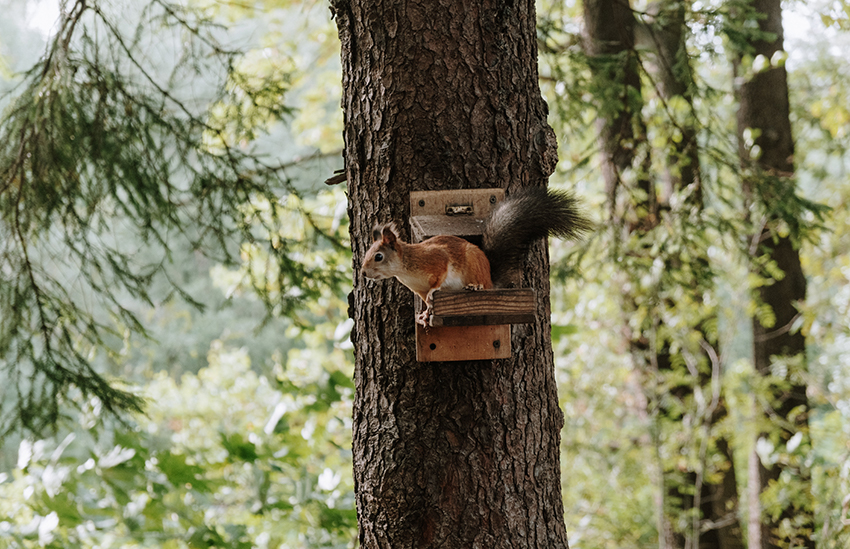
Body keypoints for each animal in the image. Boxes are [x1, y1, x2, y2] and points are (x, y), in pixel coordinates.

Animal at [360, 188, 588, 326]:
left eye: (378, 256)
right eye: (367, 254)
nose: (363, 273)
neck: (405, 269)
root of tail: (490, 280)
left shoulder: (436, 259)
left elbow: (439, 277)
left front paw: (435, 291)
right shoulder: (418, 290)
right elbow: (426, 302)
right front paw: (424, 314)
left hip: (473, 266)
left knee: (481, 285)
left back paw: (475, 287)